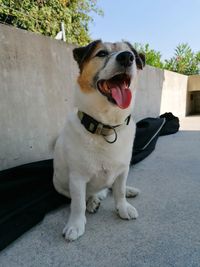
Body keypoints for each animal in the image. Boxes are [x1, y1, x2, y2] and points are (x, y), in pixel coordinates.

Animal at [53, 40, 145, 243]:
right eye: (101, 53)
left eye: (130, 54)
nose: (127, 57)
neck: (107, 127)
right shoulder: (77, 178)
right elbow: (77, 204)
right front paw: (76, 224)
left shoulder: (123, 170)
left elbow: (119, 191)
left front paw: (123, 206)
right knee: (89, 195)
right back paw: (93, 200)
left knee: (111, 188)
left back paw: (127, 191)